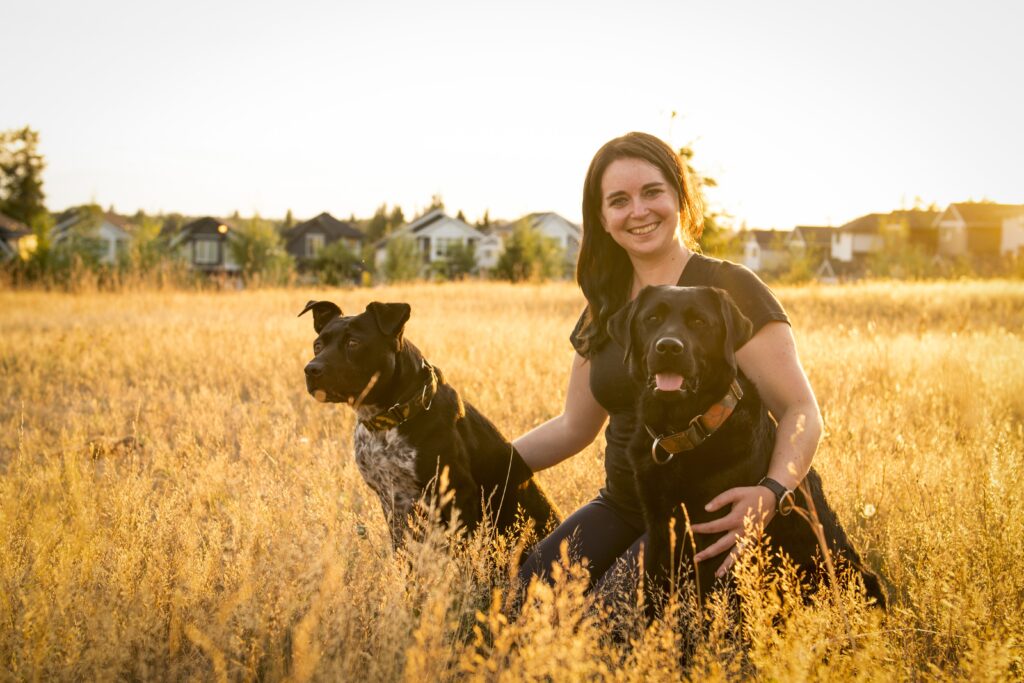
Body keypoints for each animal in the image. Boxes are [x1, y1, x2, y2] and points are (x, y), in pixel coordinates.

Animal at [299, 299, 561, 548]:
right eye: (317, 345)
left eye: (353, 342)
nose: (311, 369)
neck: (390, 418)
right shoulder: (392, 503)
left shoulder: (457, 495)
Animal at [606, 286, 888, 618]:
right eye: (652, 318)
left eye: (699, 322)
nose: (669, 347)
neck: (684, 431)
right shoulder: (661, 532)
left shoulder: (720, 540)